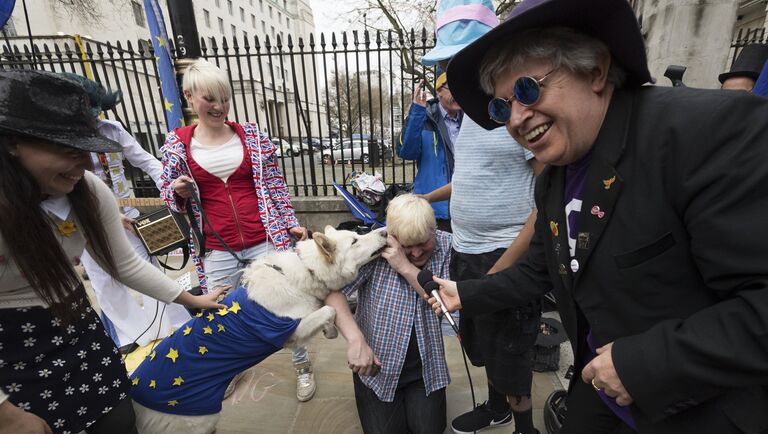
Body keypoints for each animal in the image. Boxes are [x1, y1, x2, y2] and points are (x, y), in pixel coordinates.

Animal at [130, 227, 390, 434]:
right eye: (355, 240)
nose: (385, 231)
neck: (305, 271)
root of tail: (135, 392)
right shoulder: (292, 330)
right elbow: (329, 309)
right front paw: (331, 330)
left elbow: (326, 312)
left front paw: (329, 332)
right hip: (197, 419)